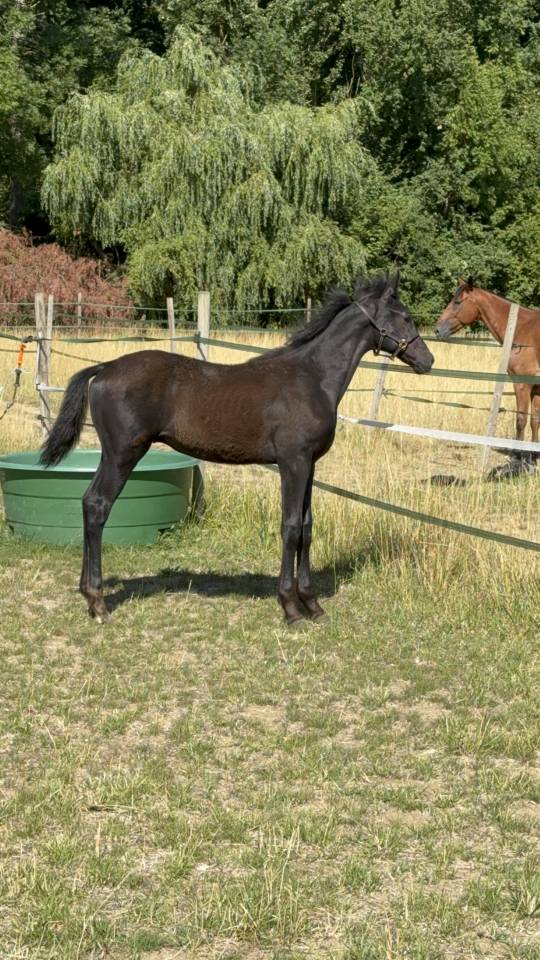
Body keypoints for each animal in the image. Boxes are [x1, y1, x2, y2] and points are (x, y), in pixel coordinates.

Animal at [40, 274, 434, 623]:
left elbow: (307, 527)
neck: (313, 377)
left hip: (112, 454)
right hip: (124, 453)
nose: (427, 360)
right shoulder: (292, 462)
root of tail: (104, 368)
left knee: (88, 501)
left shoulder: (310, 464)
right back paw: (98, 603)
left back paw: (88, 595)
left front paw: (313, 604)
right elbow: (291, 527)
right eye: (405, 316)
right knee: (98, 505)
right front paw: (291, 608)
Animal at [436, 279, 540, 452]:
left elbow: (521, 420)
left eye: (457, 302)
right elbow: (534, 421)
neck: (520, 328)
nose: (437, 330)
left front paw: (519, 456)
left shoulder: (522, 385)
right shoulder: (536, 388)